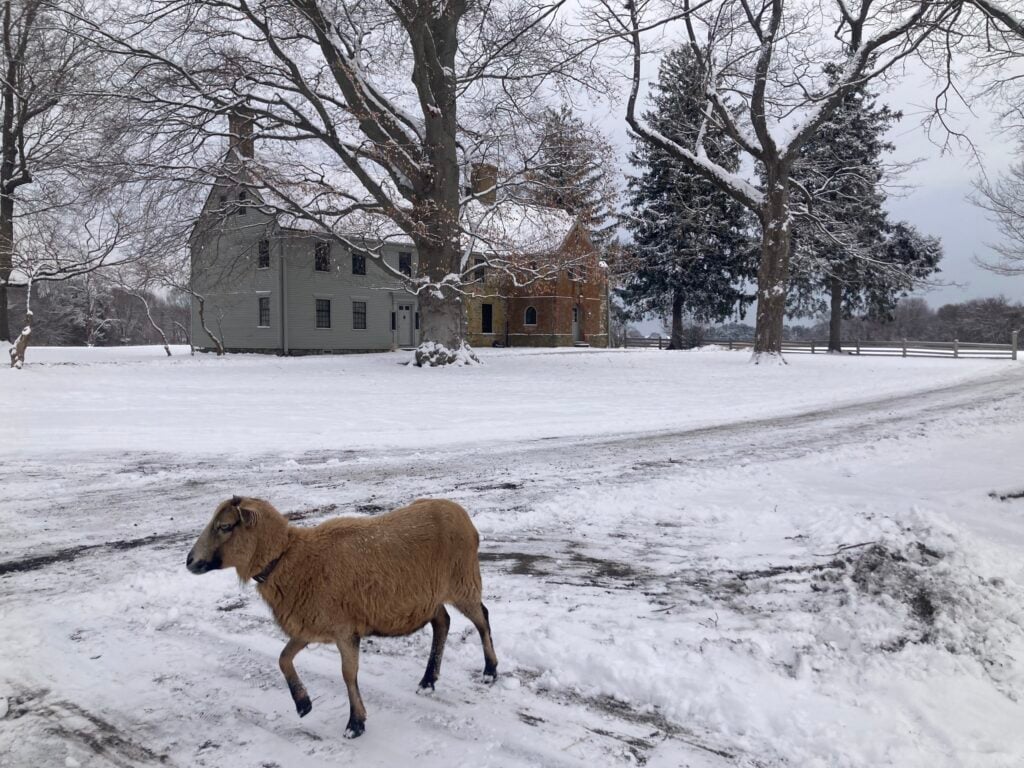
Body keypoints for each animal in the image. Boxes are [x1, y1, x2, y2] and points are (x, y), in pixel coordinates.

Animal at [186, 495, 498, 739]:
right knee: (442, 623)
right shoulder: (310, 623)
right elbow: (283, 658)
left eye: (224, 526)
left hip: (463, 580)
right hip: (430, 596)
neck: (289, 559)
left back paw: (490, 671)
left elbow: (348, 674)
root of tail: (464, 517)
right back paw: (428, 680)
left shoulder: (344, 628)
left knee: (482, 618)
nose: (189, 561)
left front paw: (355, 723)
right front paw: (303, 704)